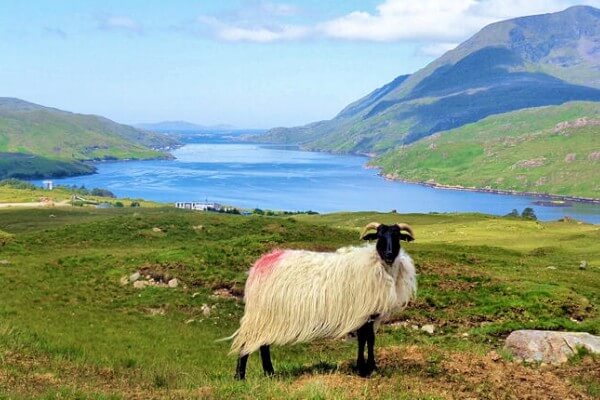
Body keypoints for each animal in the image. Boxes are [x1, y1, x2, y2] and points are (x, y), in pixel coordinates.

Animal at [227, 222, 414, 382]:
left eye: (397, 236)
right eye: (379, 236)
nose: (389, 255)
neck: (377, 266)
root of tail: (260, 264)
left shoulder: (371, 314)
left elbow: (370, 339)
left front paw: (371, 367)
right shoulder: (363, 312)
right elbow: (363, 340)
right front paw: (363, 369)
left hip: (268, 317)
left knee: (263, 345)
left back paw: (270, 373)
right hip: (260, 314)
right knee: (247, 343)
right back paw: (240, 377)